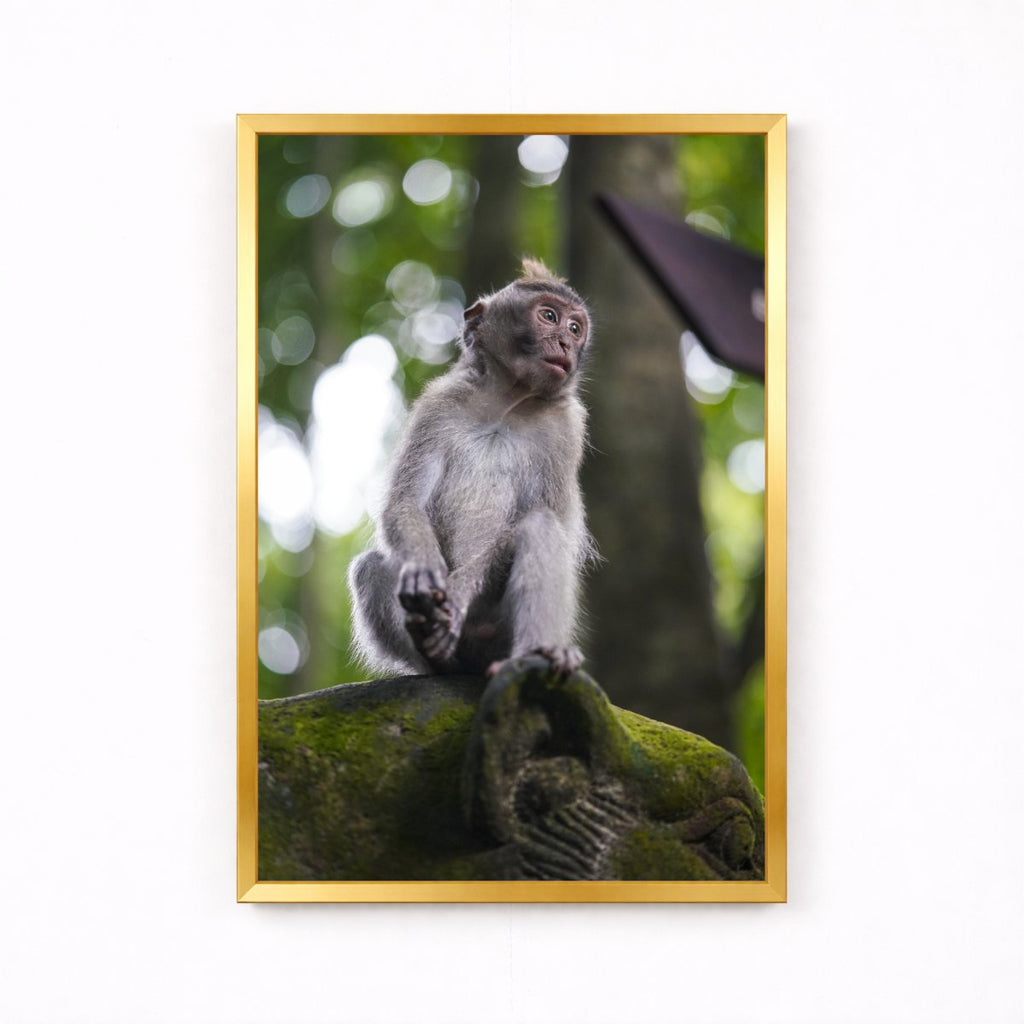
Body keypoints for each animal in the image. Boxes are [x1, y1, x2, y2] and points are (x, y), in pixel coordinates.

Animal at [348, 257, 594, 680]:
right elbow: (405, 502)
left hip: (498, 632)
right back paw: (435, 654)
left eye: (575, 329)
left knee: (540, 527)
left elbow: (542, 517)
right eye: (549, 316)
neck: (506, 405)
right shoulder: (438, 406)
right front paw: (423, 570)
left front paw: (458, 593)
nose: (566, 344)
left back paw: (540, 653)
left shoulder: (564, 430)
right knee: (369, 567)